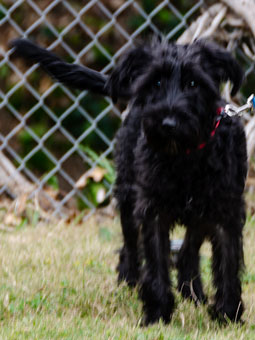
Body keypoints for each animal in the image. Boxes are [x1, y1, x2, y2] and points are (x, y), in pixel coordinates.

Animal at [10, 37, 248, 324]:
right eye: (156, 82)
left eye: (194, 83)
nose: (168, 123)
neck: (185, 156)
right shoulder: (152, 210)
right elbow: (155, 262)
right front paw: (157, 314)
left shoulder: (226, 212)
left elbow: (228, 263)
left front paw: (227, 315)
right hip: (127, 196)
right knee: (131, 248)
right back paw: (130, 282)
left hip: (198, 216)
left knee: (187, 251)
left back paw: (192, 293)